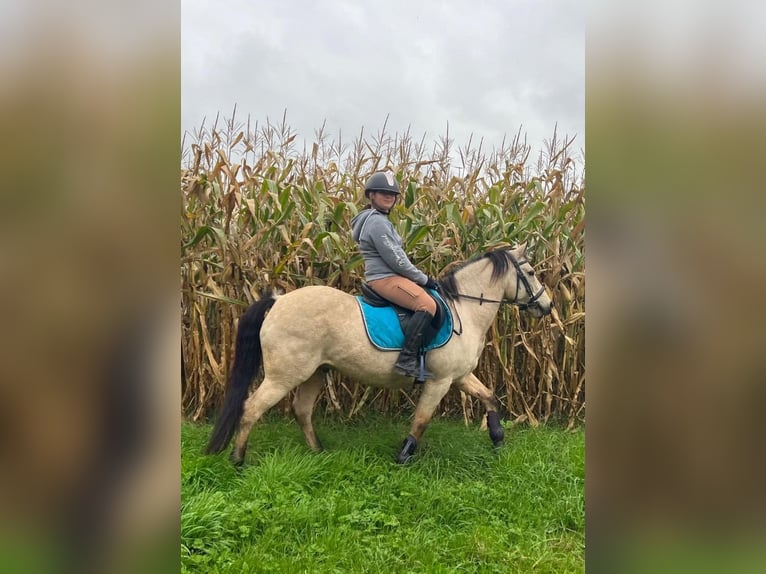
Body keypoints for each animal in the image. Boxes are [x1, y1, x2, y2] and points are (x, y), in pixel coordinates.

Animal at [206, 241, 552, 466]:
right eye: (531, 272)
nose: (548, 307)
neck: (464, 310)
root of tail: (278, 301)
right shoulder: (439, 381)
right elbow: (422, 420)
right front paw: (404, 455)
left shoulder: (461, 376)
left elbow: (490, 397)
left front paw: (497, 437)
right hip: (284, 375)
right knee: (252, 408)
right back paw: (238, 460)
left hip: (315, 372)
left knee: (301, 410)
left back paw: (318, 452)